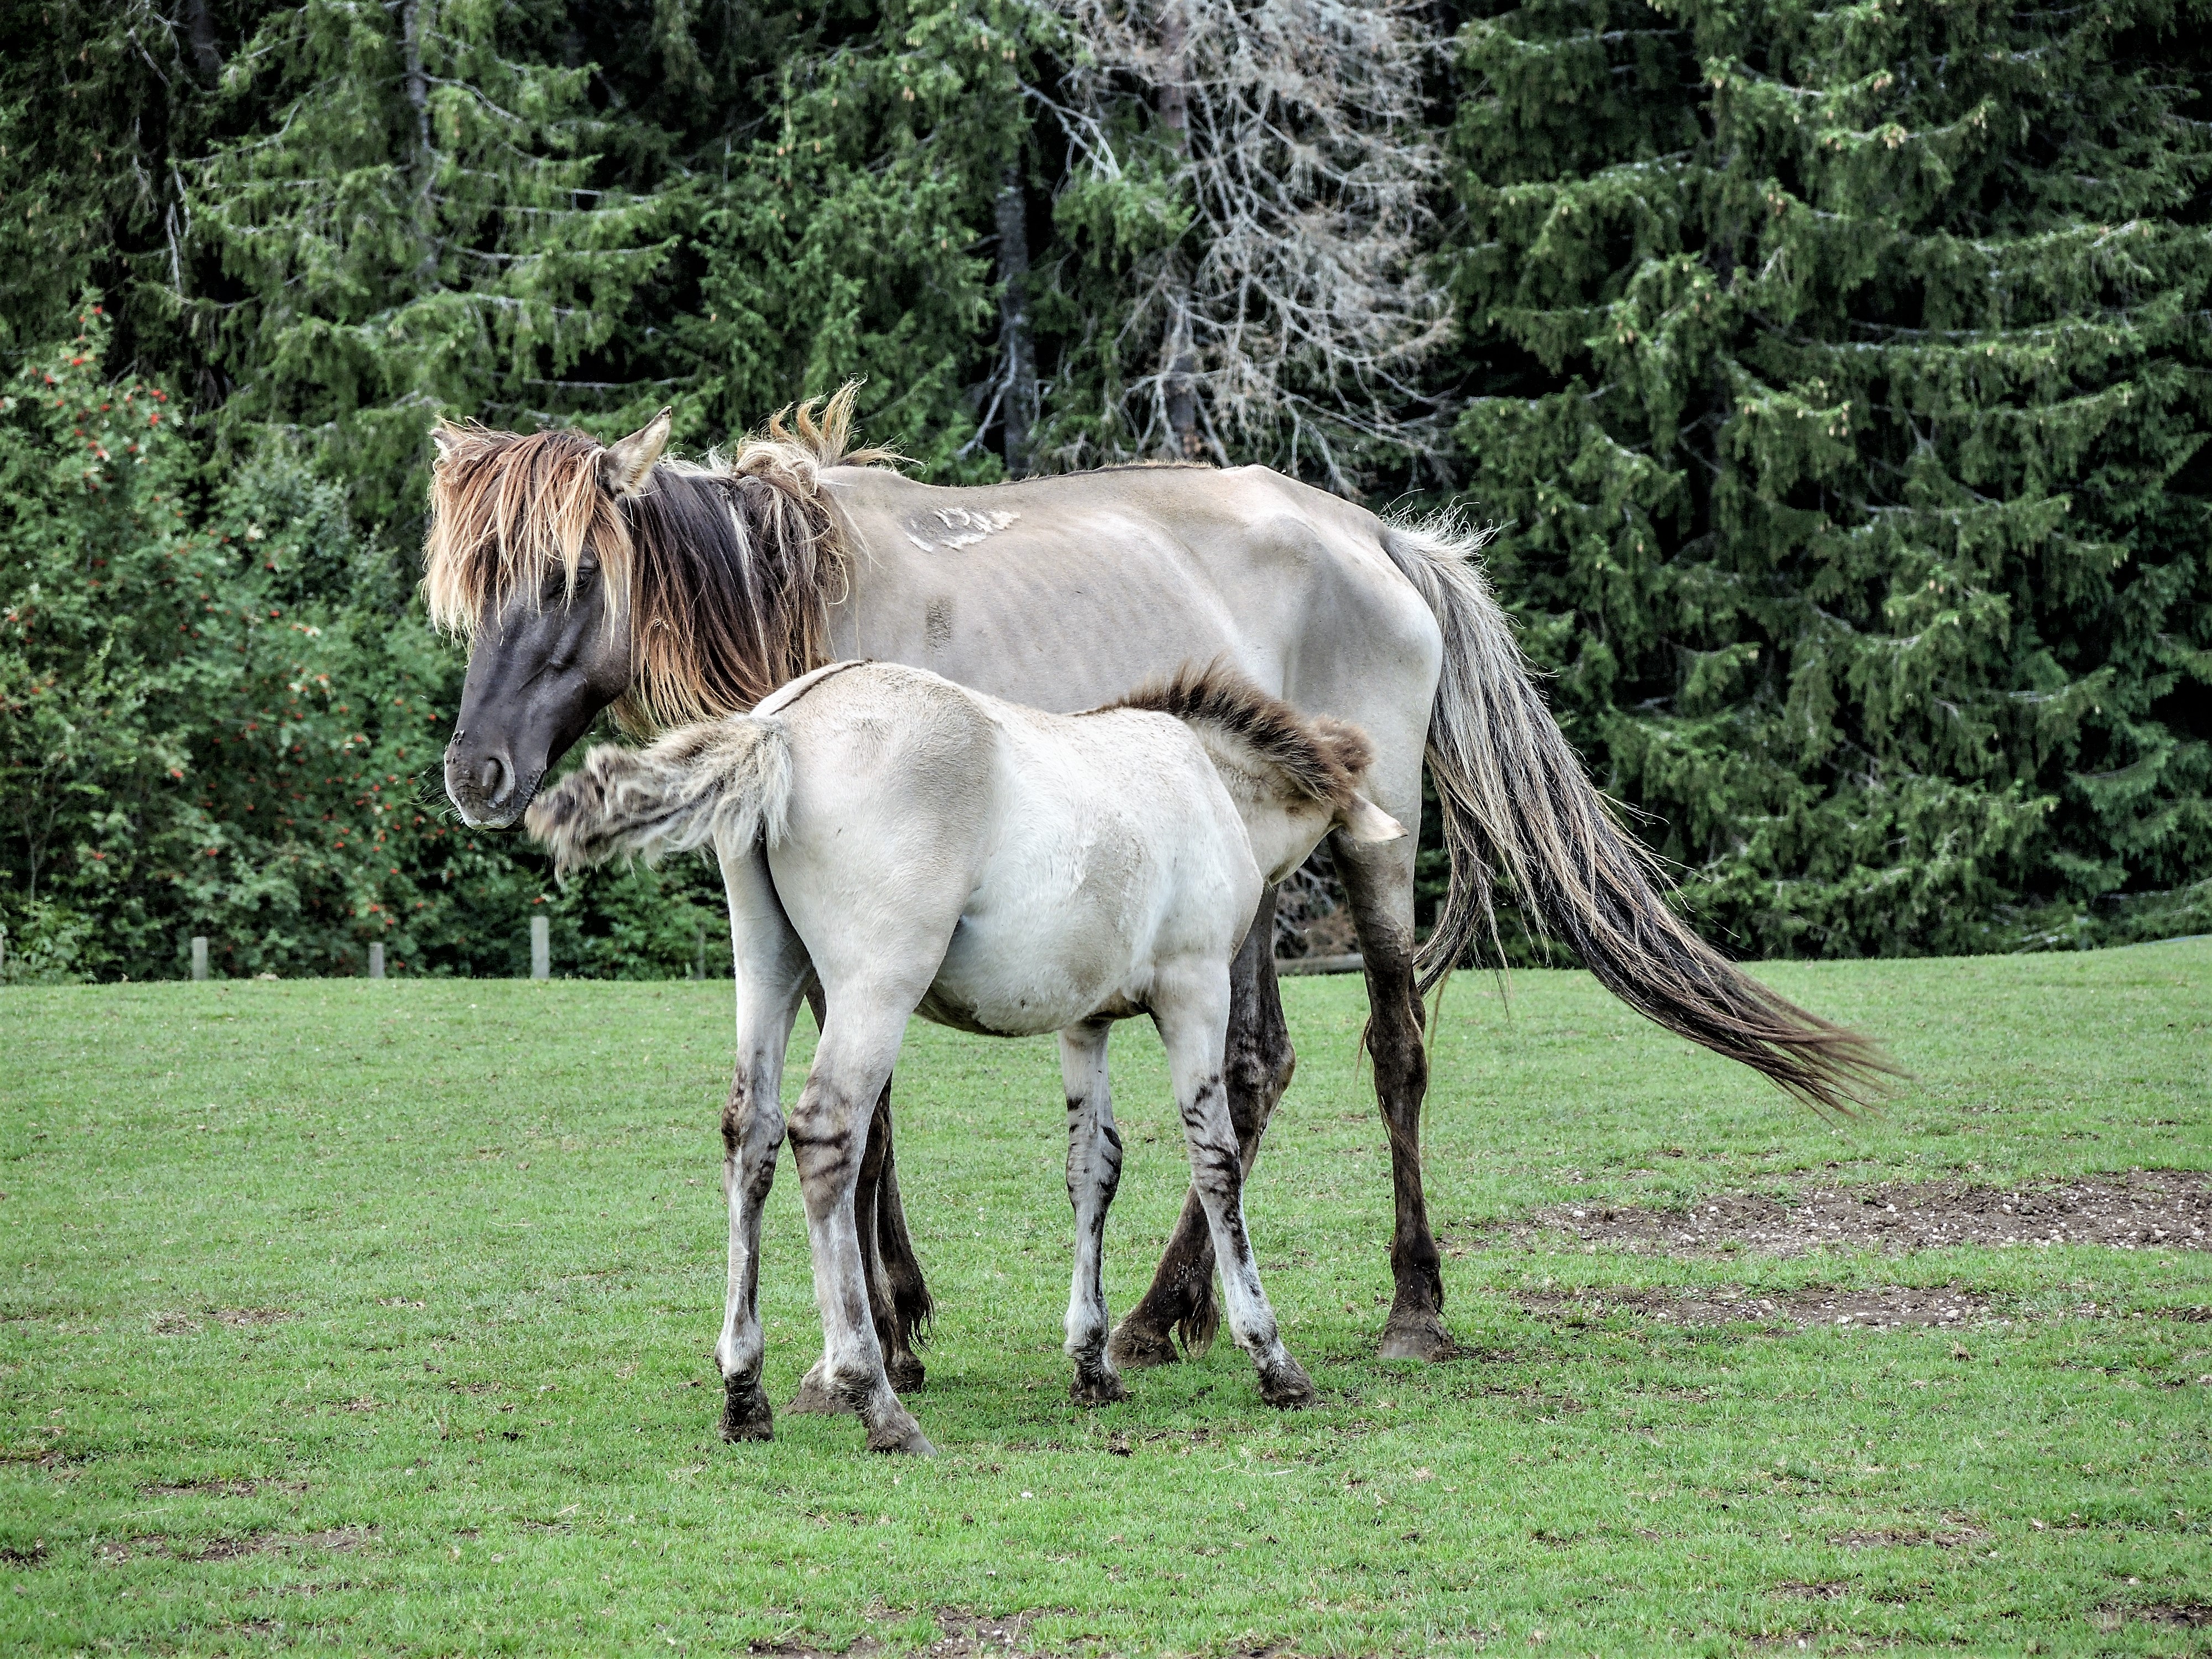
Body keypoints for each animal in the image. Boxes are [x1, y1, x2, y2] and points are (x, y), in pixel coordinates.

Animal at [522, 659, 1398, 1451]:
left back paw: (745, 1394)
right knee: (826, 1134)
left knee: (753, 1132)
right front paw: (1272, 1359)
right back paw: (874, 1398)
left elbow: (1093, 1169)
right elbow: (1215, 1162)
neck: (1199, 775)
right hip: (876, 985)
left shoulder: (1085, 1023)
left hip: (770, 966)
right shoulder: (1194, 991)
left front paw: (1092, 1366)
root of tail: (784, 725)